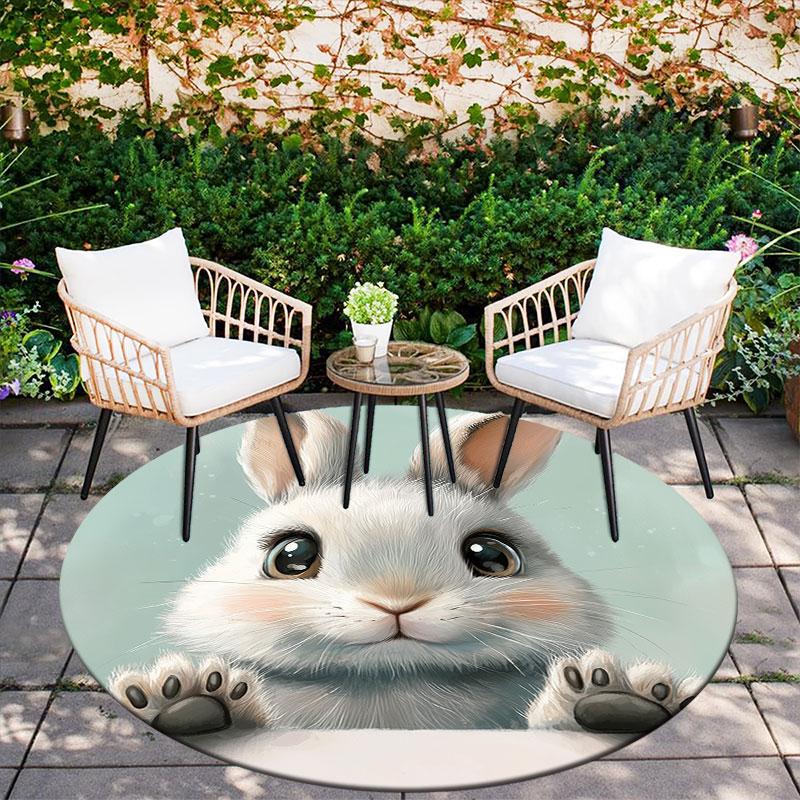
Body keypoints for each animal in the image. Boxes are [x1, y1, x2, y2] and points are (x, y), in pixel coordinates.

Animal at [111, 410, 699, 736]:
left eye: (493, 556)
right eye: (291, 557)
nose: (397, 602)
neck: (392, 685)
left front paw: (612, 695)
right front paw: (180, 695)